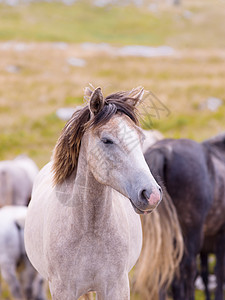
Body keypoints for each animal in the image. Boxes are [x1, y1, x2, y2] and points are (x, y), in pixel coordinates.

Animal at [24, 86, 162, 300]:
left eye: (141, 138)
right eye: (107, 140)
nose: (151, 194)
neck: (89, 230)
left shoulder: (117, 288)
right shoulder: (63, 291)